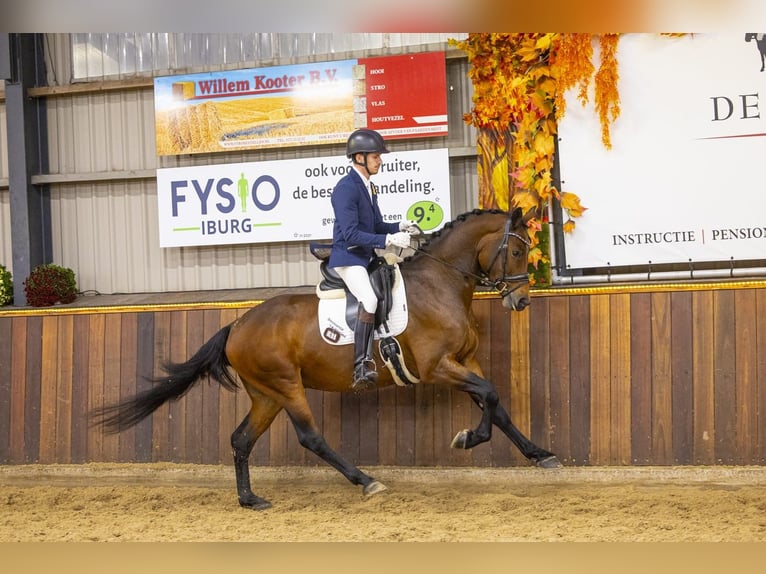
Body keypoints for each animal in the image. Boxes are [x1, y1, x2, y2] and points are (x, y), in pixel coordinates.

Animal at [94, 206, 564, 508]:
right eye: (517, 251)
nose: (521, 301)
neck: (442, 283)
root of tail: (237, 325)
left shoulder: (465, 362)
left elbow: (496, 402)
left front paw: (541, 454)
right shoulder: (438, 367)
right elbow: (489, 395)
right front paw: (468, 438)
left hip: (266, 394)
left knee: (241, 439)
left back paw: (250, 499)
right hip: (286, 386)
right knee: (311, 437)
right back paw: (366, 481)